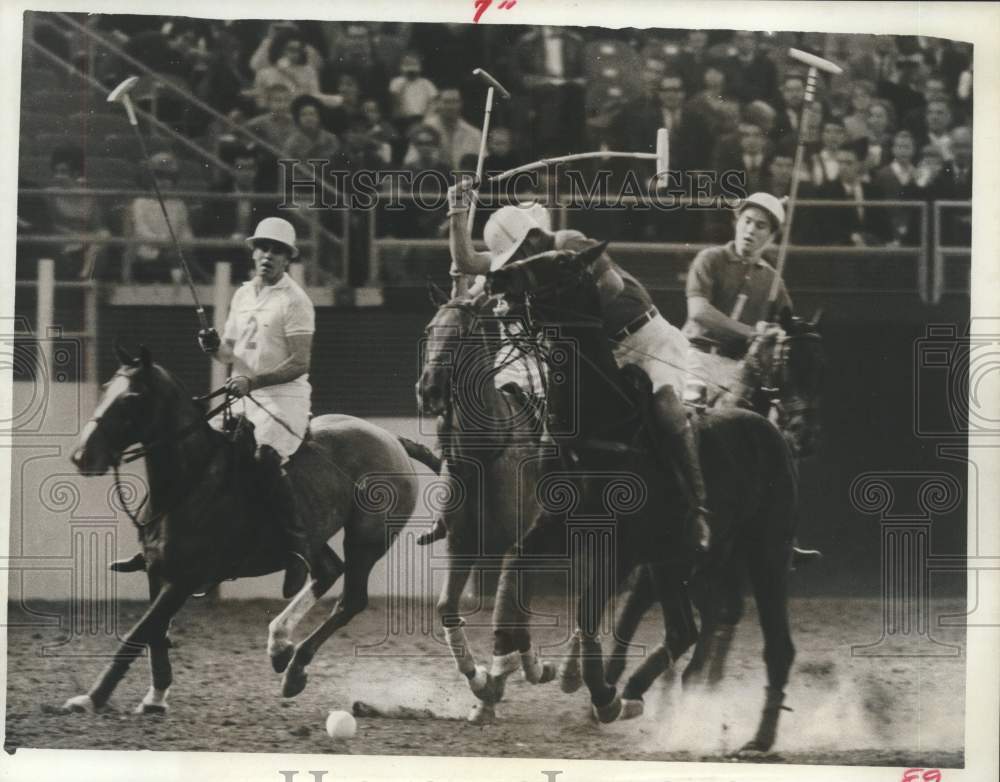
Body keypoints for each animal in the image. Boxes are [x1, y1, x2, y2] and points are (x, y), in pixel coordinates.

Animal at [63, 344, 438, 716]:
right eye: (105, 390)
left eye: (132, 398)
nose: (82, 457)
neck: (189, 483)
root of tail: (391, 438)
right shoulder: (157, 571)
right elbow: (154, 634)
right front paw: (156, 696)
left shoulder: (184, 579)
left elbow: (139, 632)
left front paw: (92, 697)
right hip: (315, 533)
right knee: (326, 570)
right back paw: (280, 645)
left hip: (366, 539)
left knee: (351, 600)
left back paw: (294, 668)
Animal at [486, 247, 804, 760]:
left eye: (562, 263)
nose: (497, 278)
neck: (602, 424)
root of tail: (772, 431)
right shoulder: (558, 528)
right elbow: (516, 560)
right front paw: (514, 653)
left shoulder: (622, 546)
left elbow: (589, 616)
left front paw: (601, 694)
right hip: (680, 560)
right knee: (686, 629)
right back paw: (641, 693)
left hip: (765, 553)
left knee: (774, 644)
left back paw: (756, 738)